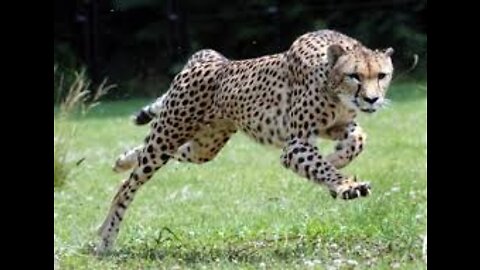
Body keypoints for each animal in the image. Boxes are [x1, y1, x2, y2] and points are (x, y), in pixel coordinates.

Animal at [96, 29, 394, 253]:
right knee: (127, 186)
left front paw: (336, 163)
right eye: (354, 75)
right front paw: (345, 185)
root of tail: (211, 59)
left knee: (165, 152)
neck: (332, 85)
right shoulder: (294, 145)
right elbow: (321, 165)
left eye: (382, 75)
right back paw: (106, 236)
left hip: (203, 147)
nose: (372, 99)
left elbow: (358, 139)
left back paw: (122, 161)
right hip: (168, 136)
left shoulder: (340, 126)